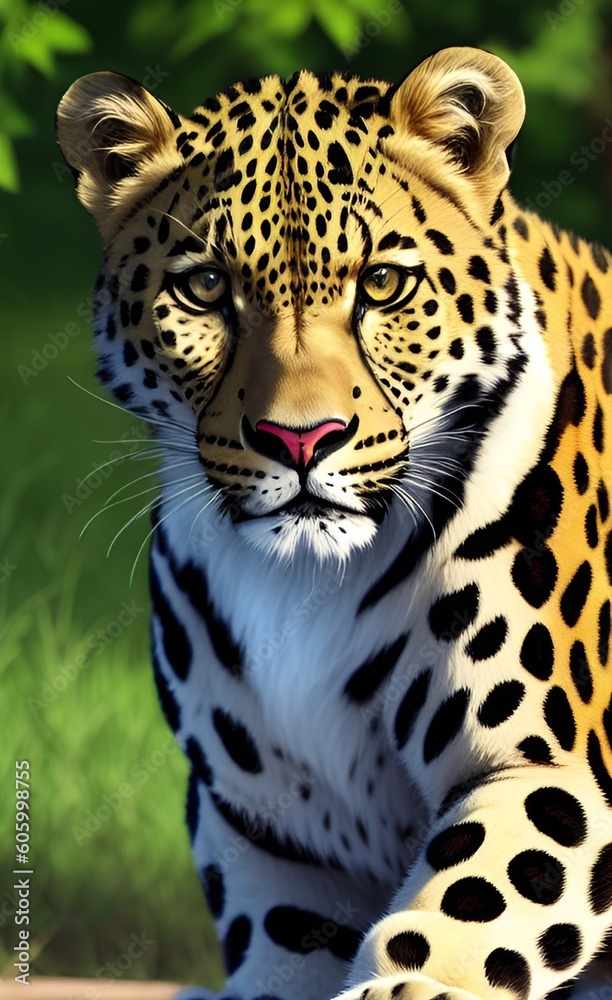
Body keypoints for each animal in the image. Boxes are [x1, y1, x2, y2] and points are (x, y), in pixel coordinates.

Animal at [56, 46, 612, 1000]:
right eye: (205, 288)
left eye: (383, 284)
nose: (301, 438)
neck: (301, 583)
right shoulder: (268, 826)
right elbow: (287, 946)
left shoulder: (550, 764)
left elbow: (479, 894)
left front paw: (405, 984)